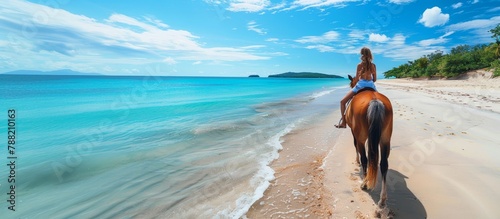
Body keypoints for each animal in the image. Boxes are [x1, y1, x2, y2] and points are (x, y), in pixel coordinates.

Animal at [346, 75, 392, 207]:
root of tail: (375, 101)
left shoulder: (354, 133)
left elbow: (355, 146)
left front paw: (357, 161)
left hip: (362, 137)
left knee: (365, 158)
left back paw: (364, 184)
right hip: (385, 139)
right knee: (383, 164)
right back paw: (382, 199)